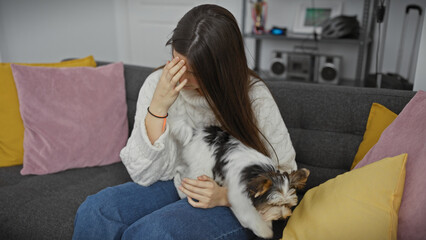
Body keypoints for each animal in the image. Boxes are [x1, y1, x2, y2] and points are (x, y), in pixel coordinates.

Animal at [171, 122, 310, 238]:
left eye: (287, 204)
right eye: (274, 204)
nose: (282, 217)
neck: (259, 173)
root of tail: (196, 132)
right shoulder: (239, 197)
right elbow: (250, 215)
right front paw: (265, 231)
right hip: (202, 166)